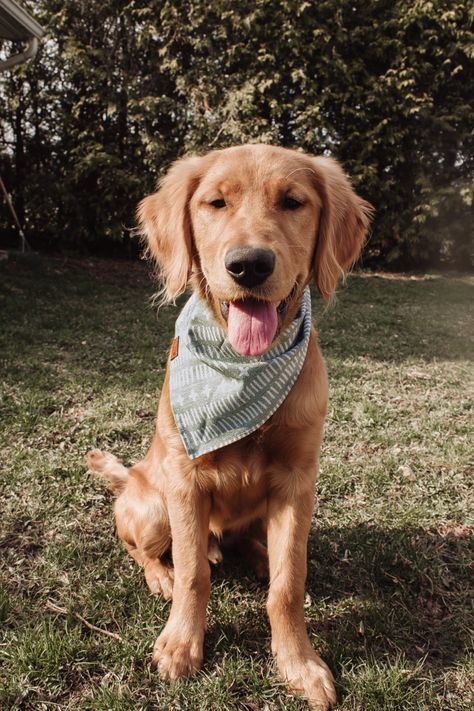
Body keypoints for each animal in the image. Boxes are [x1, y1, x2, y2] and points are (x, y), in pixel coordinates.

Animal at [87, 142, 372, 708]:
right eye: (216, 203)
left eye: (292, 202)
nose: (249, 265)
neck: (241, 369)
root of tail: (130, 478)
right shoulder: (185, 481)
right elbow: (195, 574)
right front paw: (181, 644)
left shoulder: (296, 482)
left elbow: (288, 584)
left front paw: (300, 663)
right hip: (154, 505)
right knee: (145, 550)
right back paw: (162, 576)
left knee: (252, 547)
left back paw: (258, 555)